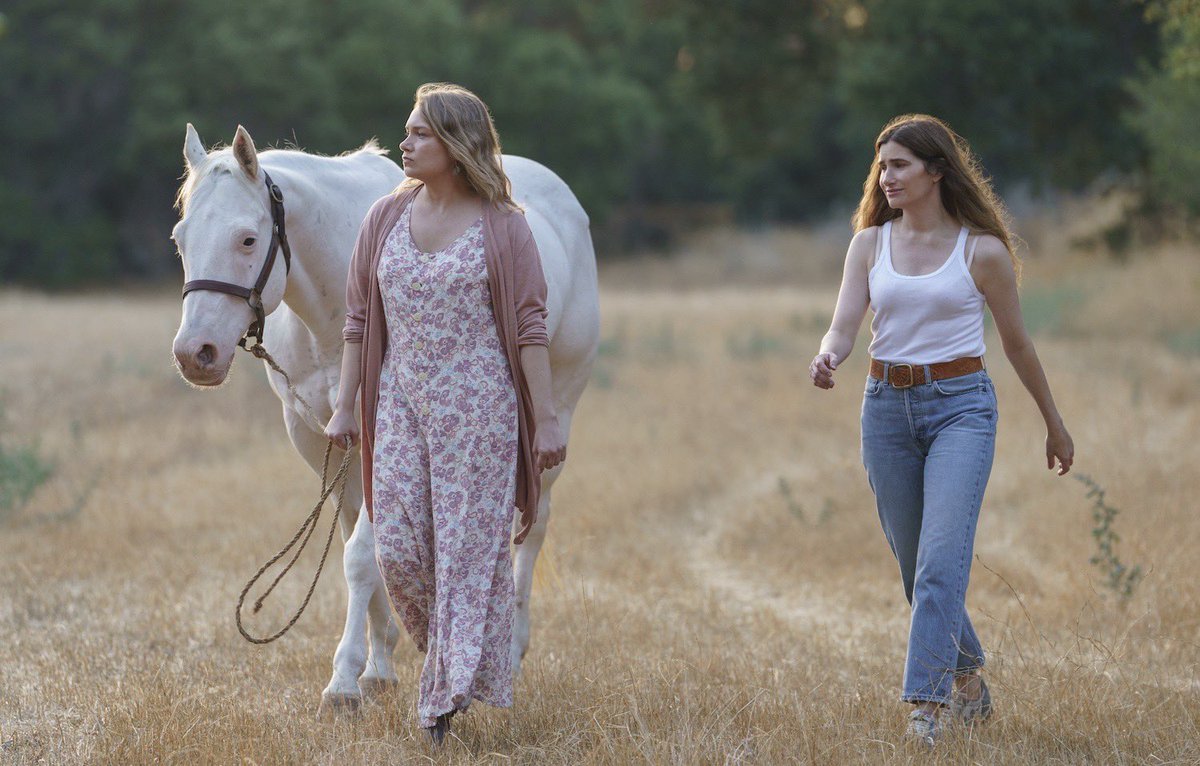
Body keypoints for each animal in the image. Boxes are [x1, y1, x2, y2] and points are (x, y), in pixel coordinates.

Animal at [171, 124, 600, 715]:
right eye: (180, 239)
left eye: (247, 240)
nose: (196, 354)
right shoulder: (320, 440)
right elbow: (361, 547)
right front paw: (377, 664)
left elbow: (359, 557)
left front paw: (343, 680)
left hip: (554, 414)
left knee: (531, 529)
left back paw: (509, 652)